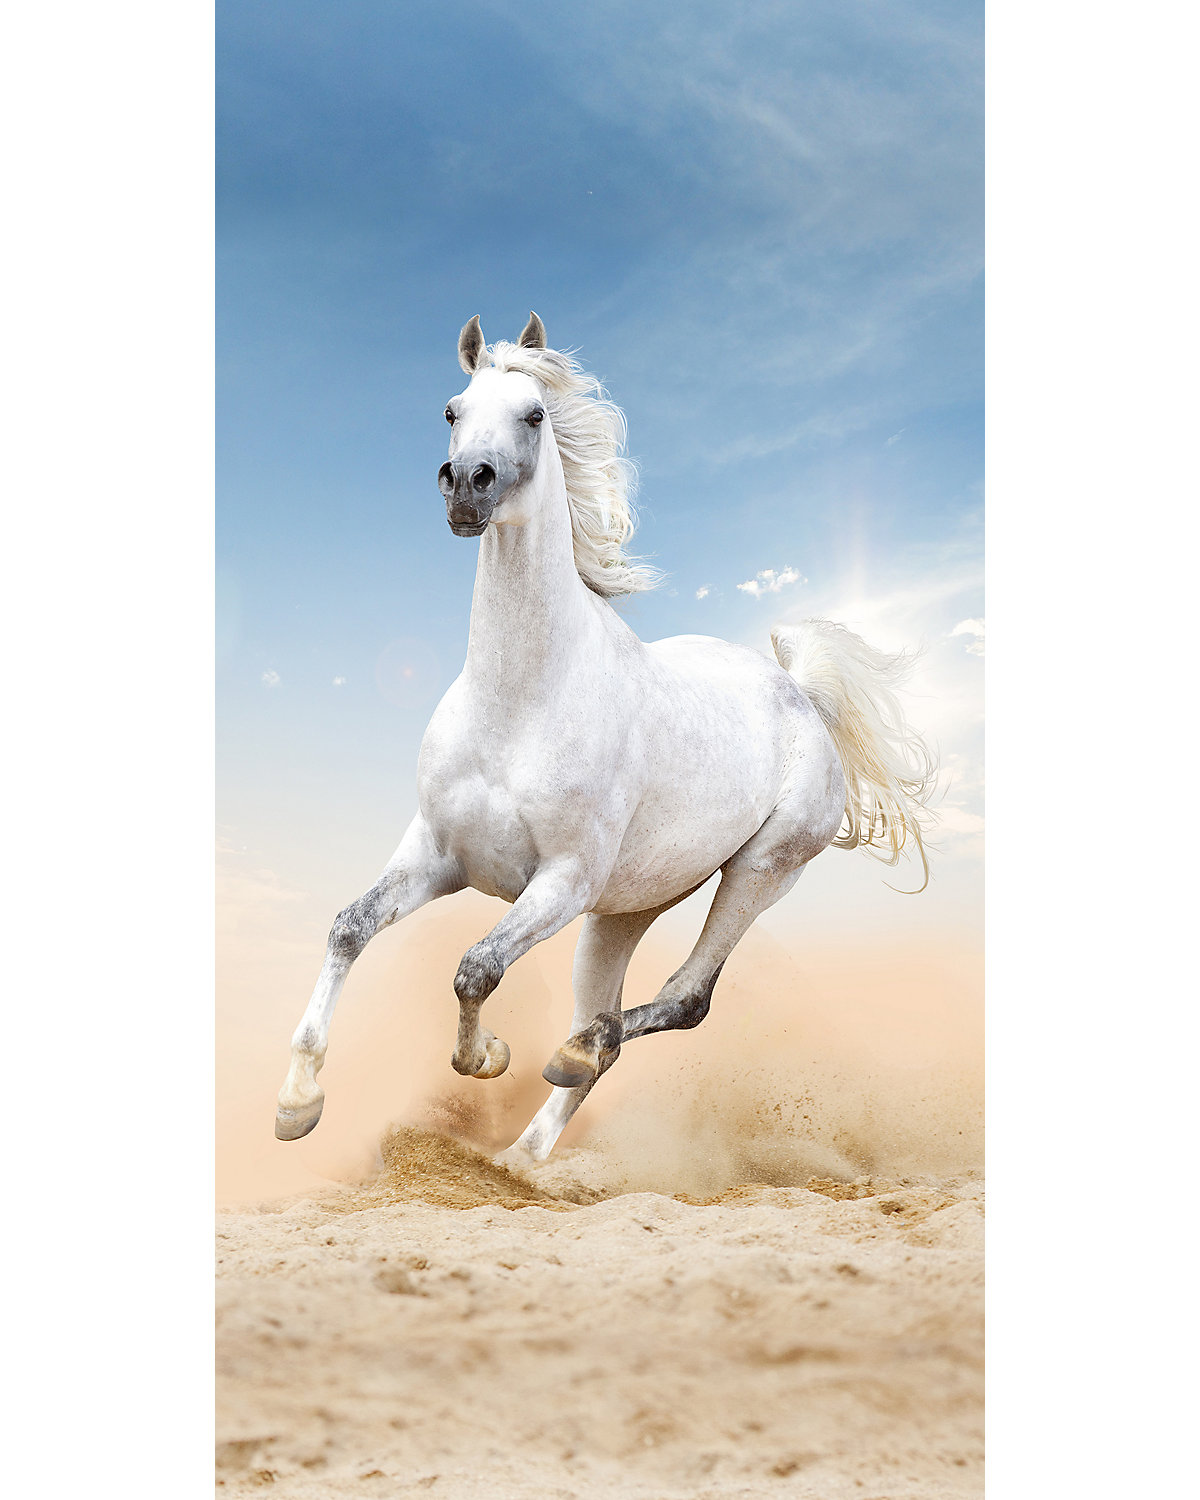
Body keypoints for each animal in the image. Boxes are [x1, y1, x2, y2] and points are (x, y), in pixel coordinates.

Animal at [275, 312, 936, 1163]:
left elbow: (475, 968)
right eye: (453, 409)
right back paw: (524, 1157)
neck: (519, 704)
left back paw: (568, 1064)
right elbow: (350, 927)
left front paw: (487, 1057)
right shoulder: (439, 854)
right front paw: (297, 1103)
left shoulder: (560, 879)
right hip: (622, 912)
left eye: (534, 414)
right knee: (611, 1022)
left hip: (755, 874)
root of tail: (802, 698)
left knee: (678, 1002)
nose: (466, 486)